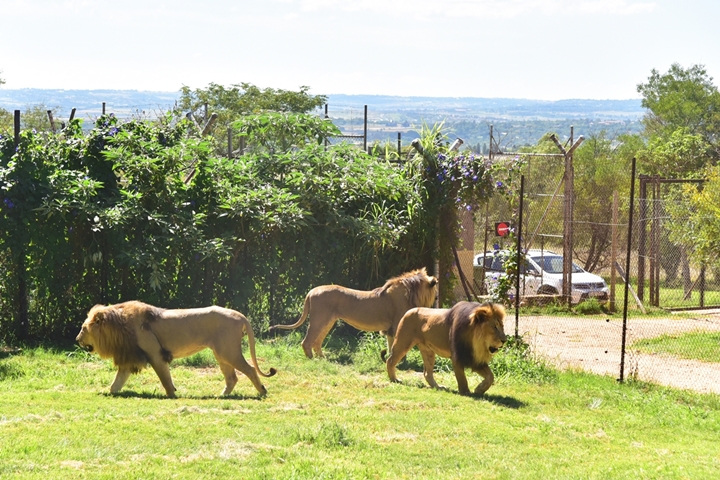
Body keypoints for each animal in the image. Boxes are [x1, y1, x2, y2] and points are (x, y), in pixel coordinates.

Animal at [76, 301, 277, 398]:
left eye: (83, 328)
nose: (77, 339)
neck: (118, 325)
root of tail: (240, 315)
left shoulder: (155, 354)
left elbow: (165, 378)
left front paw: (172, 394)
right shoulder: (129, 358)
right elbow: (117, 382)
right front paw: (108, 393)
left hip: (228, 352)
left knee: (250, 370)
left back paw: (262, 392)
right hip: (221, 354)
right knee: (232, 377)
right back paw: (221, 396)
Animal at [269, 268, 438, 358]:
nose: (437, 299)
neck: (411, 292)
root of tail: (311, 291)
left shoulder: (389, 329)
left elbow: (391, 345)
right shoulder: (397, 326)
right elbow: (397, 347)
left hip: (327, 321)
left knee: (316, 341)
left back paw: (323, 358)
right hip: (319, 319)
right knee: (307, 341)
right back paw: (312, 359)